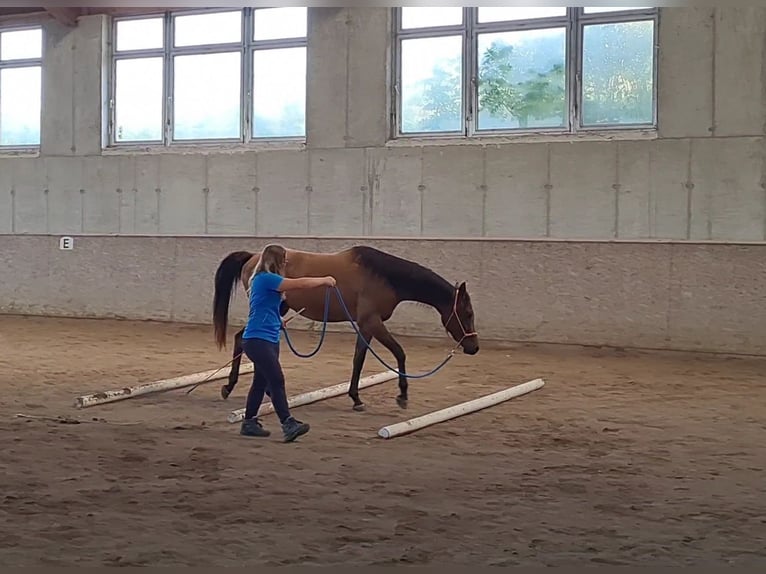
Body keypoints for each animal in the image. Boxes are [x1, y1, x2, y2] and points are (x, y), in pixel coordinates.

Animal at [210, 245, 480, 412]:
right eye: (467, 313)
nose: (474, 347)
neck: (383, 276)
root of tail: (253, 257)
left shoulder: (366, 326)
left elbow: (358, 359)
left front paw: (356, 397)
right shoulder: (372, 322)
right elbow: (399, 353)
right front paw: (402, 396)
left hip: (278, 310)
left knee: (246, 340)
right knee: (243, 339)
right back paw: (230, 386)